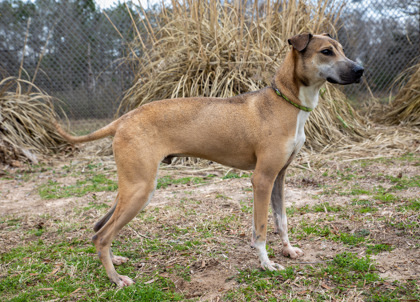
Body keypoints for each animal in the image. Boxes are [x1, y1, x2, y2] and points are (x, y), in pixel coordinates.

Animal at [56, 33, 364, 288]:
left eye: (342, 49)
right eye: (326, 51)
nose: (360, 71)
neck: (285, 101)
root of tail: (123, 120)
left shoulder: (279, 177)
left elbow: (282, 220)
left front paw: (287, 250)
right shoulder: (262, 180)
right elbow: (261, 229)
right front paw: (266, 264)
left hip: (131, 188)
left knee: (100, 228)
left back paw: (115, 260)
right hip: (140, 190)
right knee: (102, 235)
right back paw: (116, 279)